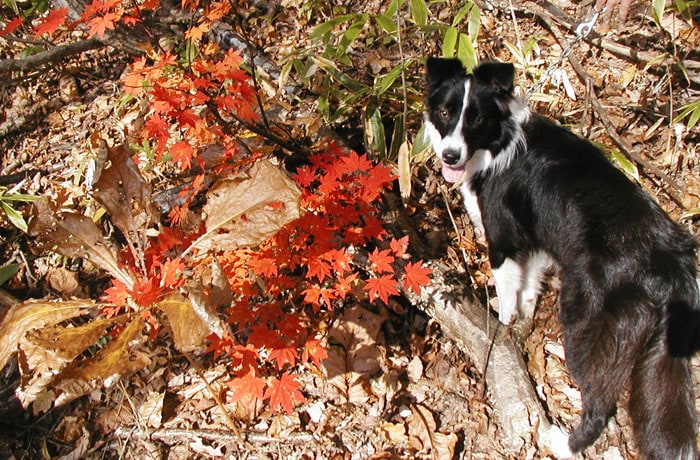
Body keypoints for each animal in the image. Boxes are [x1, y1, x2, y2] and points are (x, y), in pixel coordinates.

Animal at [424, 58, 700, 460]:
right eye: (445, 112)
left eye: (477, 119)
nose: (450, 157)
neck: (497, 143)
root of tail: (671, 263)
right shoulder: (537, 239)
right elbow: (528, 284)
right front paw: (524, 318)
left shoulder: (503, 237)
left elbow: (507, 289)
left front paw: (503, 323)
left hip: (588, 326)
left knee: (602, 406)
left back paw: (561, 442)